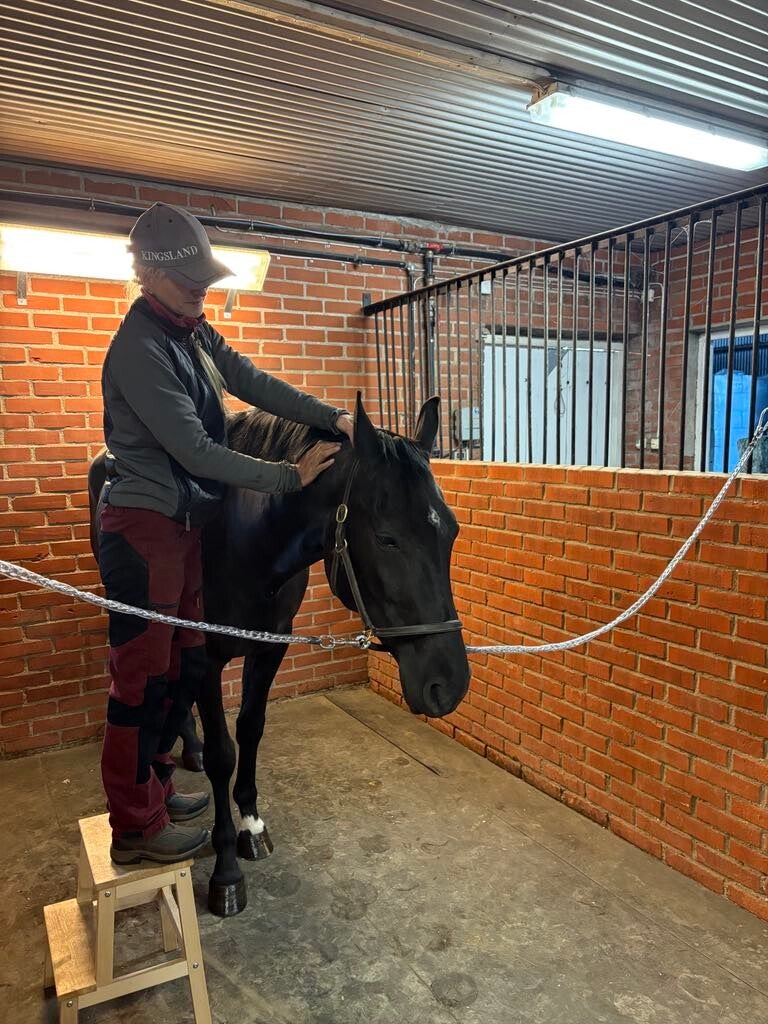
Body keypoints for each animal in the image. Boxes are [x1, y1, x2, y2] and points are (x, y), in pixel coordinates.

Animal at [88, 394, 471, 916]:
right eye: (387, 538)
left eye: (450, 531)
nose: (449, 685)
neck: (242, 538)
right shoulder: (206, 656)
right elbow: (223, 756)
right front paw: (227, 872)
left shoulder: (270, 649)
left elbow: (251, 730)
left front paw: (251, 825)